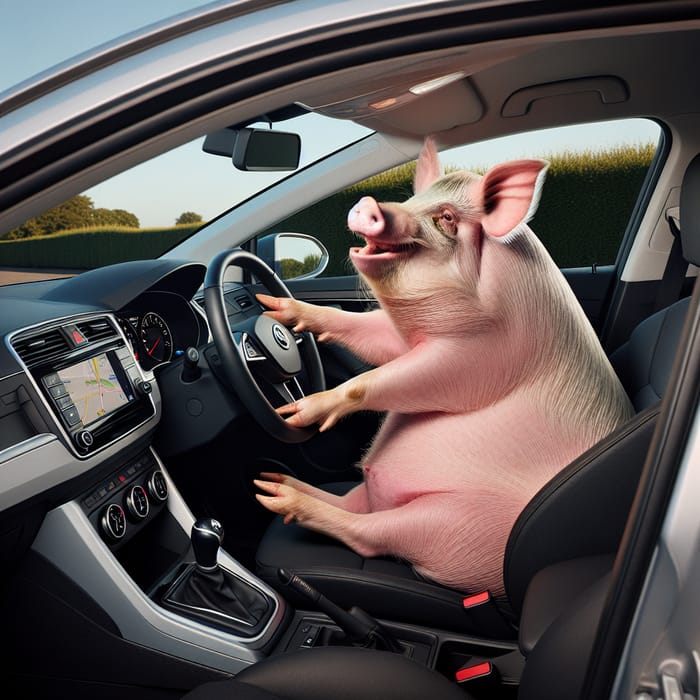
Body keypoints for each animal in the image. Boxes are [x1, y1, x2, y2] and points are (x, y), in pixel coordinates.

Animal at [253, 139, 636, 600]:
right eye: (412, 199)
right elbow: (365, 332)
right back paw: (270, 482)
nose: (369, 203)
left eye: (447, 218)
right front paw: (273, 306)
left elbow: (380, 382)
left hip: (453, 523)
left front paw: (295, 414)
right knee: (352, 502)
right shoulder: (403, 339)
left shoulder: (480, 353)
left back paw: (280, 498)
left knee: (367, 534)